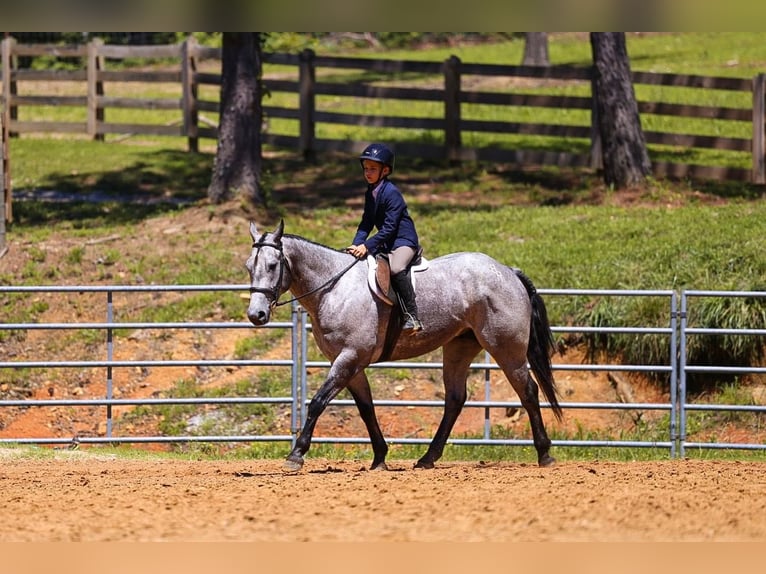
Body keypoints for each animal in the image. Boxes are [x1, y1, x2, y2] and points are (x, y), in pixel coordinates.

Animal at [245, 220, 563, 472]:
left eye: (272, 266)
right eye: (249, 267)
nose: (255, 315)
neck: (334, 288)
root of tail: (508, 271)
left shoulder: (349, 358)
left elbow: (318, 402)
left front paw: (296, 454)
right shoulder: (351, 364)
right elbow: (366, 409)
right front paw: (379, 458)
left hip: (506, 349)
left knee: (528, 391)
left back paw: (545, 454)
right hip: (459, 347)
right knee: (455, 399)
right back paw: (427, 458)